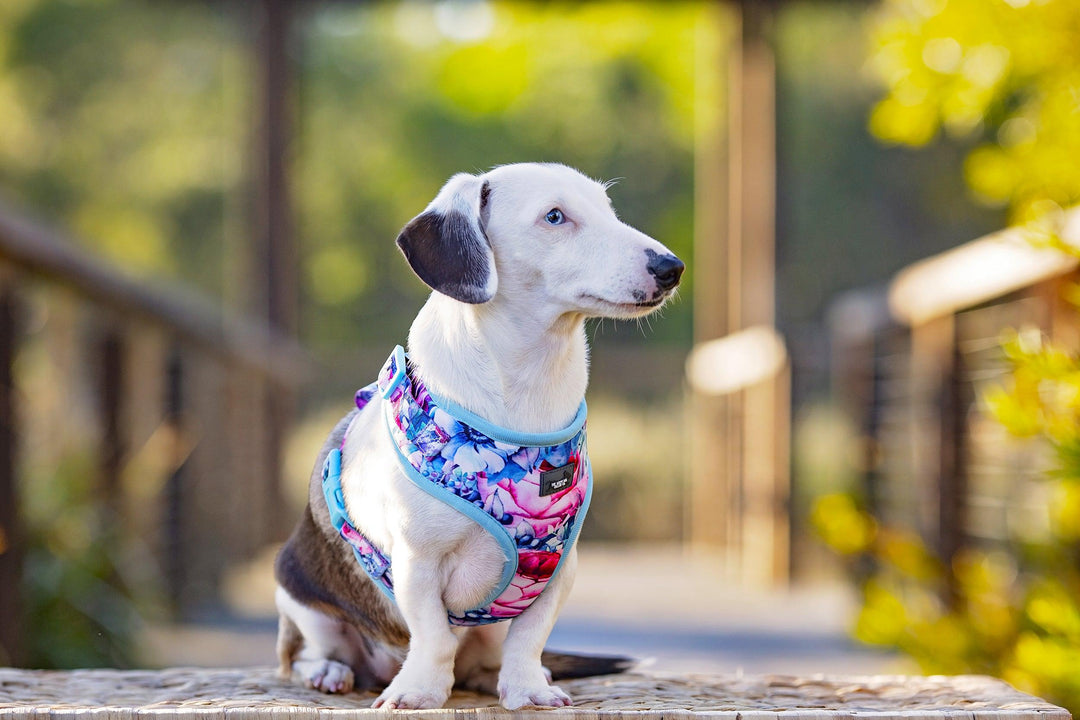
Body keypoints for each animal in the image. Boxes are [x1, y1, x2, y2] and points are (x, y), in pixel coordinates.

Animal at [276, 162, 682, 708]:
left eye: (608, 210)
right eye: (555, 216)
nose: (671, 267)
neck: (523, 404)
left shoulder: (558, 569)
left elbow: (528, 637)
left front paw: (528, 688)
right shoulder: (417, 563)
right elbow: (432, 636)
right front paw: (420, 691)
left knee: (482, 662)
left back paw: (500, 676)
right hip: (299, 597)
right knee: (306, 653)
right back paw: (328, 671)